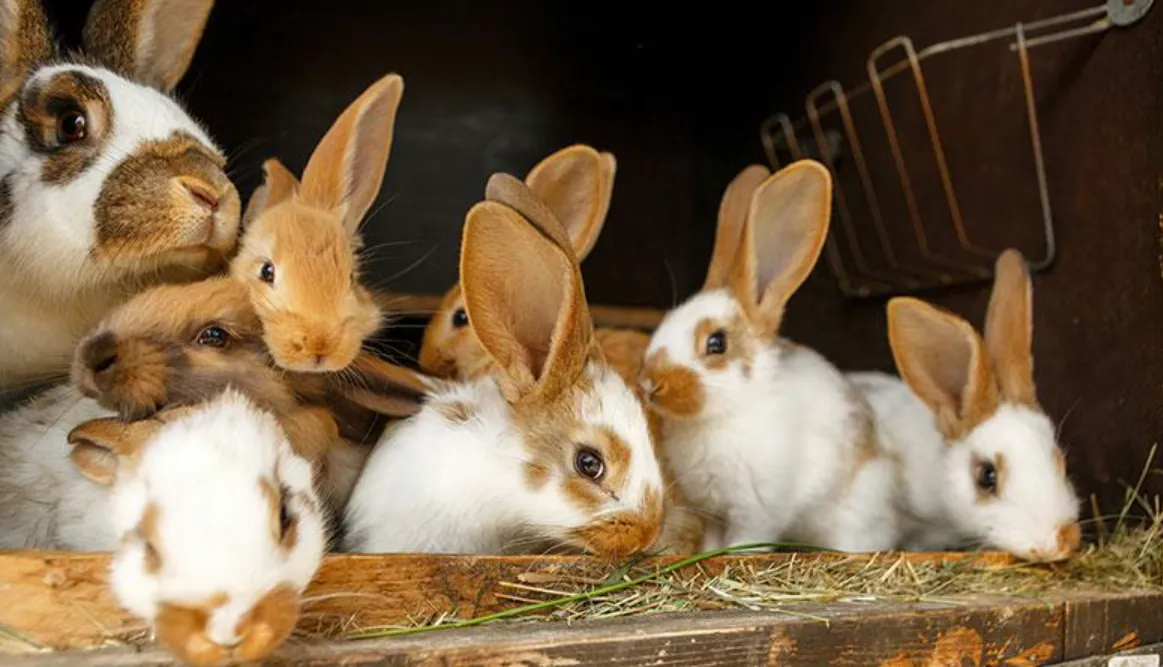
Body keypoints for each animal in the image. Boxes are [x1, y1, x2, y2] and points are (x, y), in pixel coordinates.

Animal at [639, 160, 899, 553]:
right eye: (665, 322)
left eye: (716, 343)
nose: (651, 383)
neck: (725, 412)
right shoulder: (711, 510)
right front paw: (706, 555)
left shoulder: (756, 509)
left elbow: (747, 539)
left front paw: (734, 556)